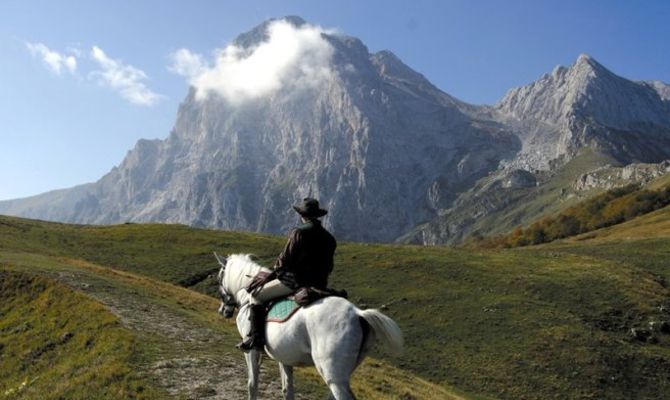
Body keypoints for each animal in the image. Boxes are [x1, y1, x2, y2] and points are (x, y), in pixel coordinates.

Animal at [217, 253, 404, 400]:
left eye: (219, 278)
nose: (223, 310)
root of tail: (358, 313)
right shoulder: (283, 357)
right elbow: (287, 390)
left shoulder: (251, 351)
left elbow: (252, 384)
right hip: (343, 374)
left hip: (333, 375)